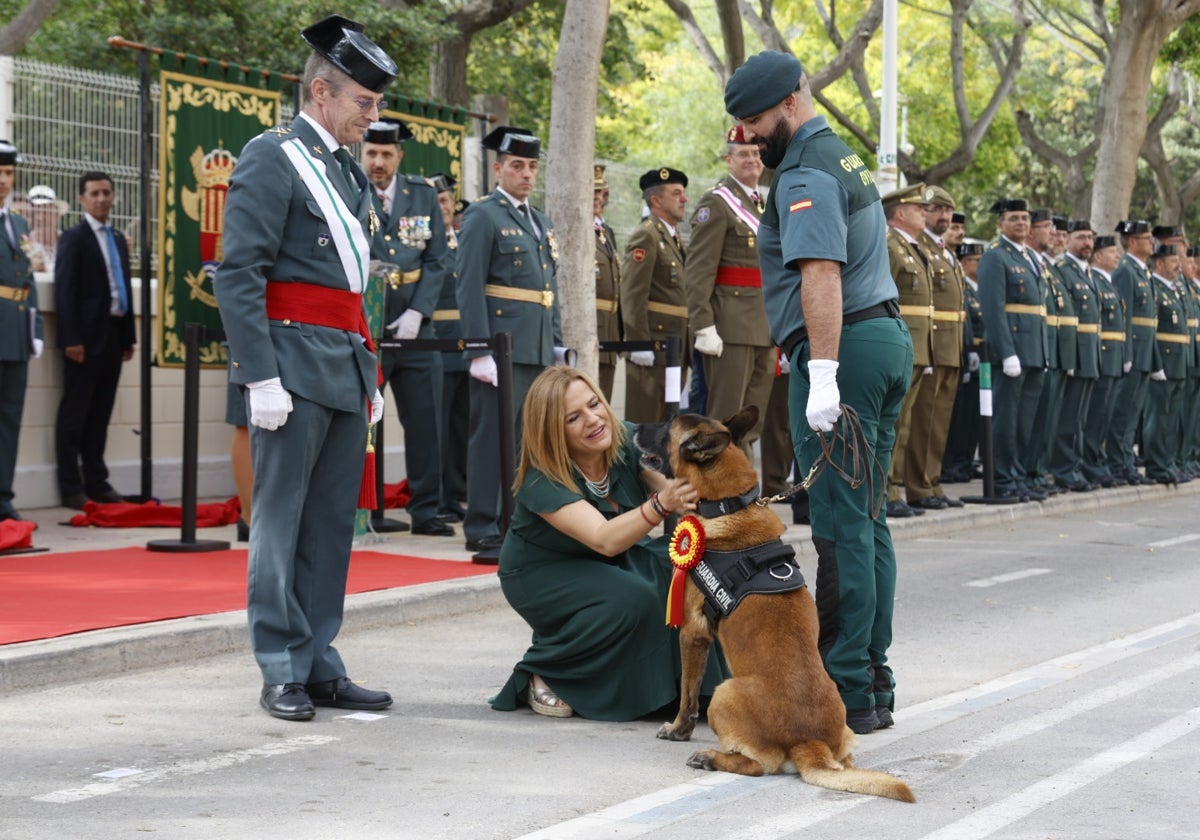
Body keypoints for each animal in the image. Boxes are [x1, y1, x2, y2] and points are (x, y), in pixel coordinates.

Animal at [633, 410, 912, 801]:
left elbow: (687, 697)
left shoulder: (692, 633)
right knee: (846, 763)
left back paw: (710, 757)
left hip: (723, 693)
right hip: (840, 735)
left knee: (757, 766)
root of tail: (809, 742)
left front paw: (677, 730)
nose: (632, 427)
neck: (728, 503)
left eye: (667, 424)